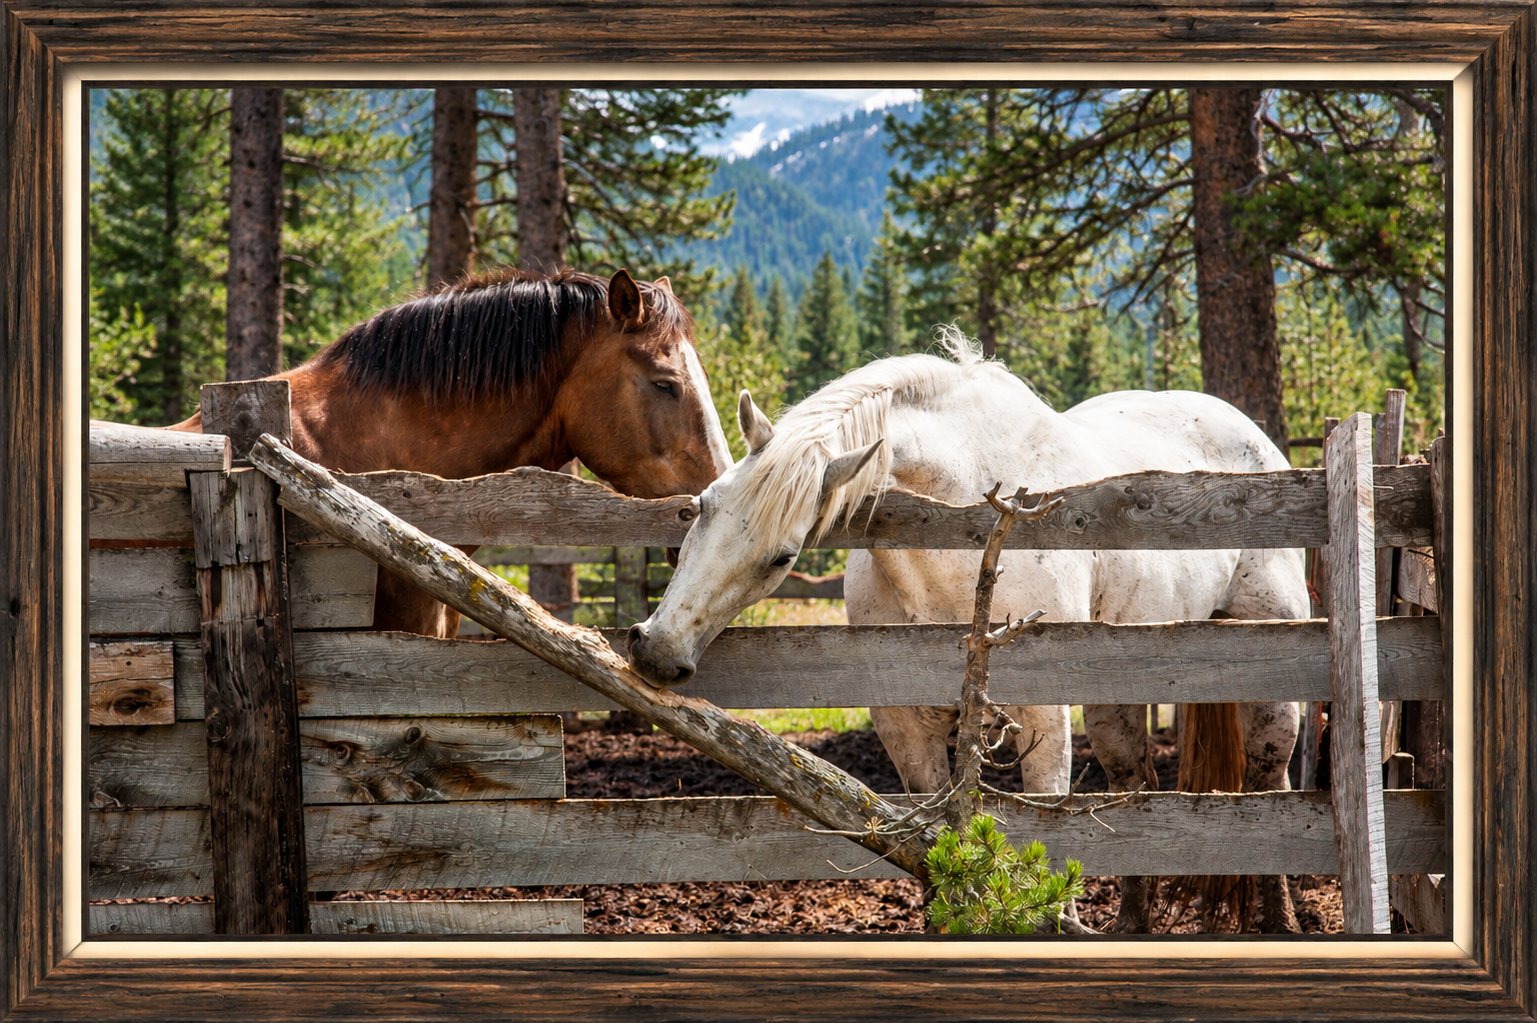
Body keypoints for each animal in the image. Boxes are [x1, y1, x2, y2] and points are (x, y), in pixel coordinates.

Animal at [627, 334, 1308, 933]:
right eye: (704, 505)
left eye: (782, 556)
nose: (657, 651)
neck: (960, 529)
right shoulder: (905, 724)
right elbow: (931, 840)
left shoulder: (1043, 711)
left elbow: (1050, 825)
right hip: (1118, 689)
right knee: (1134, 784)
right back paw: (1132, 925)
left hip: (1268, 664)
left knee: (1268, 785)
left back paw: (1282, 921)